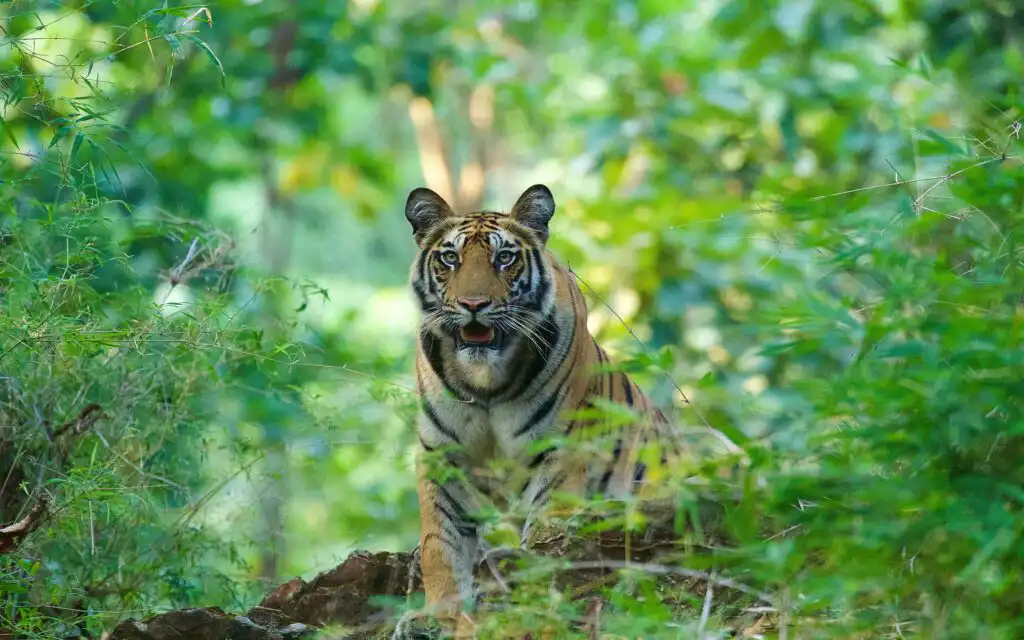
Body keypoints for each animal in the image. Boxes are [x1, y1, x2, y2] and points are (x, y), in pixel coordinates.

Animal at [404, 184, 740, 637]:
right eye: (450, 258)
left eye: (504, 257)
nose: (473, 304)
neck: (485, 381)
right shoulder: (441, 456)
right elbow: (439, 547)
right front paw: (440, 618)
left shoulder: (560, 453)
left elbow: (544, 544)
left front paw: (528, 611)